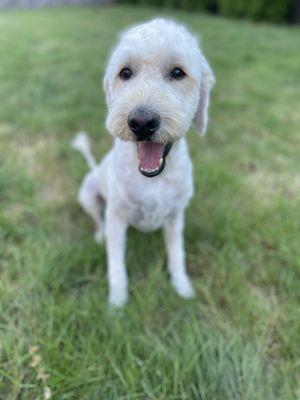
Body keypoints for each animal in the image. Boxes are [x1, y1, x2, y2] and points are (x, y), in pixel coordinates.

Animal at [71, 18, 214, 306]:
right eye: (125, 73)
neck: (153, 179)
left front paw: (182, 287)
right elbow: (116, 264)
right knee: (97, 218)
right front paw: (116, 302)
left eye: (178, 72)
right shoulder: (116, 217)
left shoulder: (175, 217)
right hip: (88, 195)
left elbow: (177, 255)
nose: (142, 122)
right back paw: (99, 234)